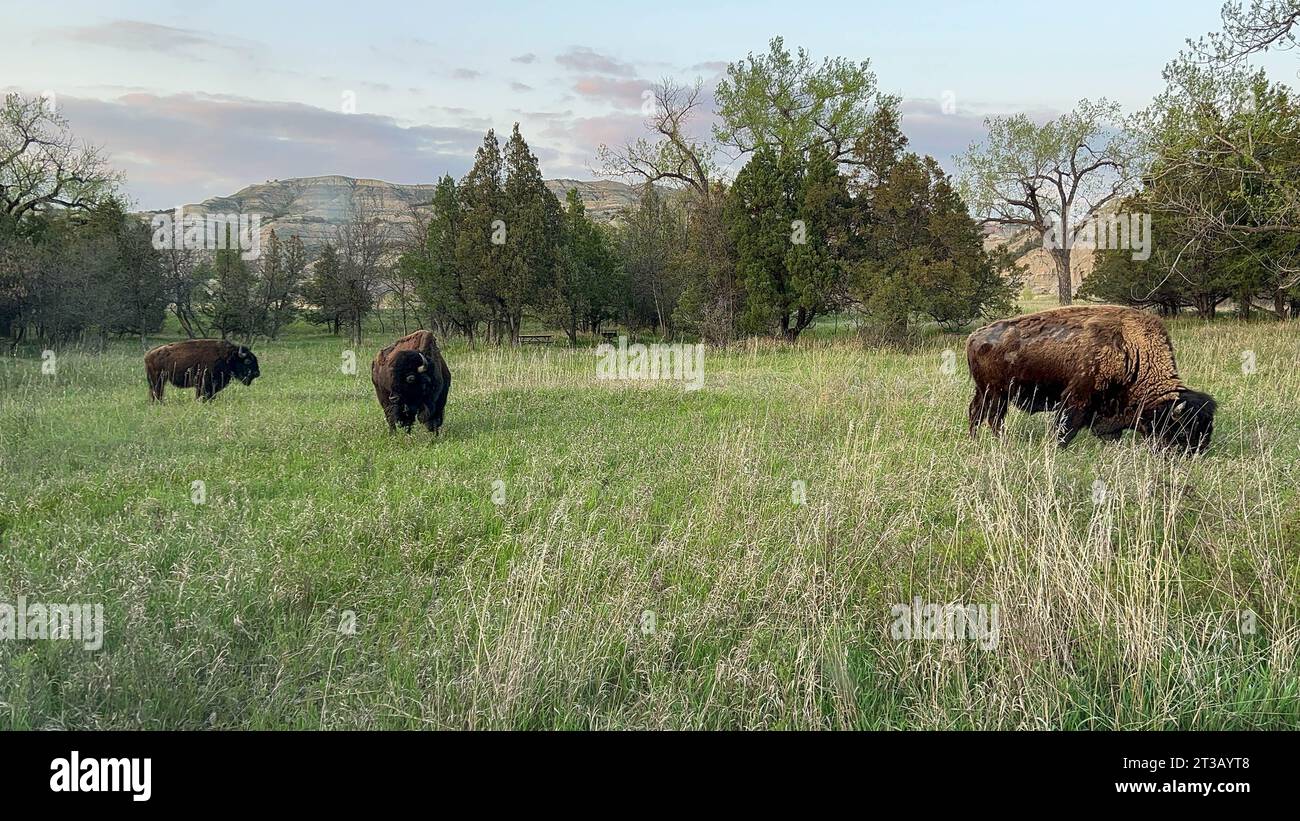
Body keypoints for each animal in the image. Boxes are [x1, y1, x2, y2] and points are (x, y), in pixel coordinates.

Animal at [972, 305, 1211, 454]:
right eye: (1183, 430)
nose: (1196, 453)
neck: (1132, 351)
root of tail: (974, 337)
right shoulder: (1076, 400)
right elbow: (1065, 430)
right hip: (997, 394)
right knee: (993, 418)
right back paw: (1002, 442)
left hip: (985, 392)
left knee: (976, 413)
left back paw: (975, 438)